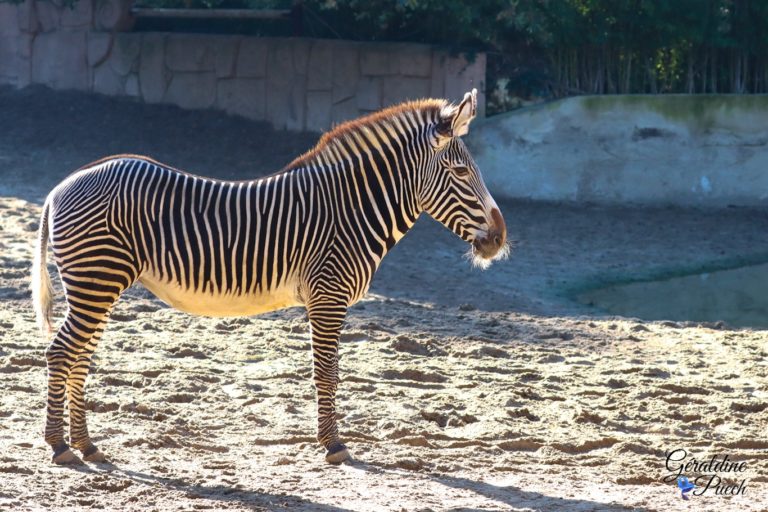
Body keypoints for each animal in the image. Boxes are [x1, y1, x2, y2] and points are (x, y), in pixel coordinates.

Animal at [31, 88, 510, 464]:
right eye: (461, 171)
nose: (499, 239)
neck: (351, 211)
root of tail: (61, 186)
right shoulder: (328, 296)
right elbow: (327, 372)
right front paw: (333, 445)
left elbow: (329, 371)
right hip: (96, 280)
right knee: (61, 353)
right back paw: (59, 446)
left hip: (98, 285)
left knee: (79, 357)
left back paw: (87, 445)